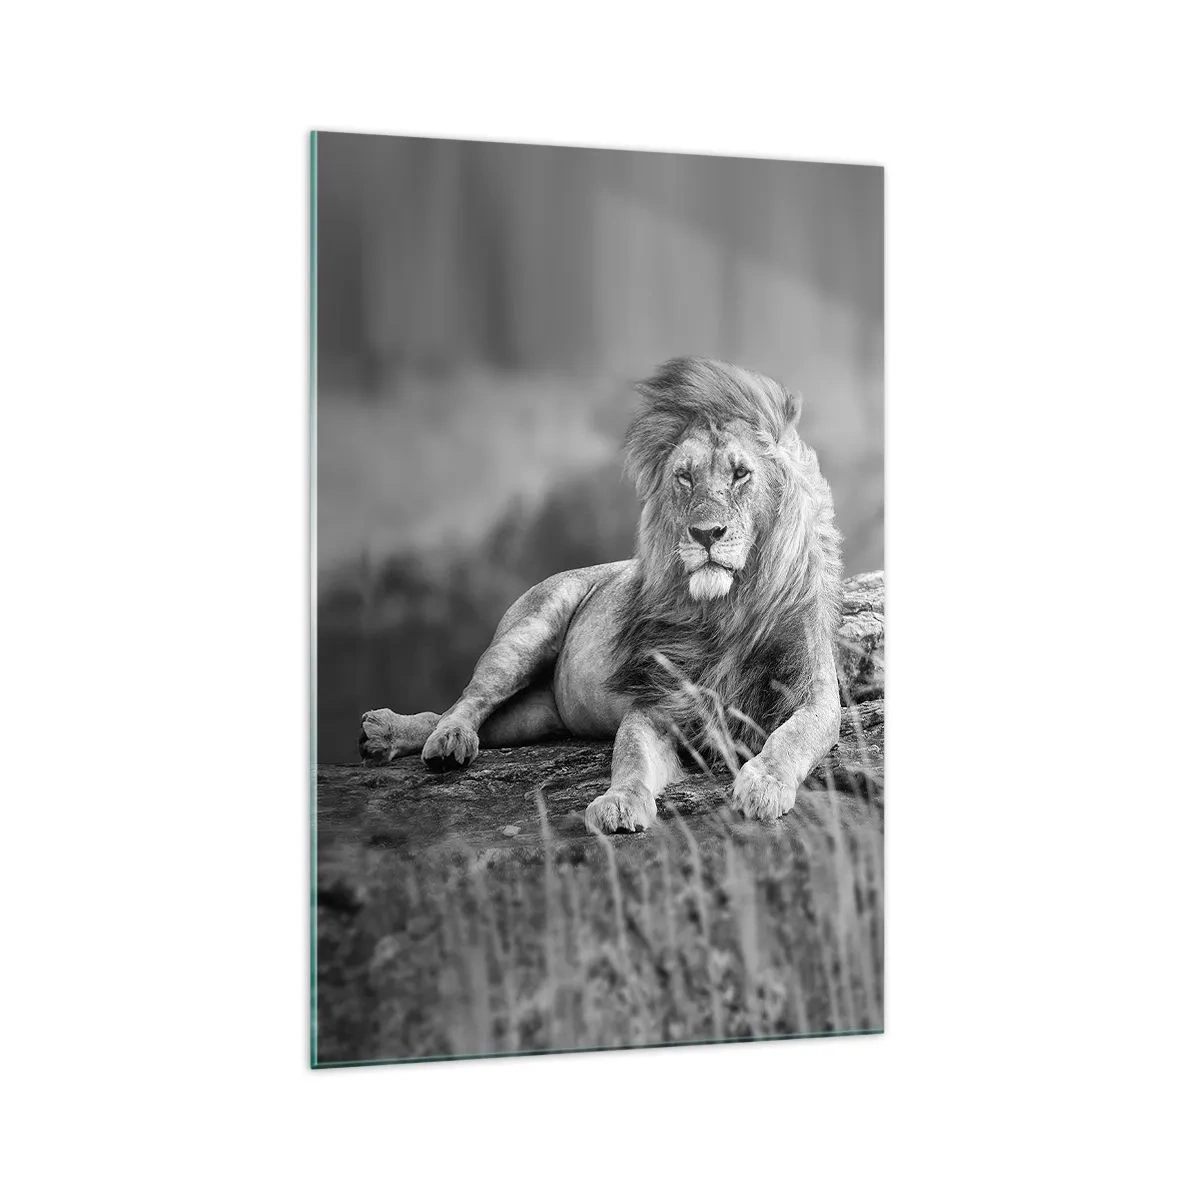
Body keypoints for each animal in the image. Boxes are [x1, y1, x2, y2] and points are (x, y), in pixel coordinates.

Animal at [359, 356, 844, 833]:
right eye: (684, 478)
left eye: (741, 473)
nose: (705, 534)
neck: (726, 608)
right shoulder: (656, 701)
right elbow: (629, 756)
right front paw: (619, 803)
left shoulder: (815, 694)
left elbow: (791, 738)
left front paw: (763, 785)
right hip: (525, 635)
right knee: (466, 701)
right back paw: (434, 738)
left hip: (535, 717)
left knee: (470, 718)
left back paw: (386, 734)